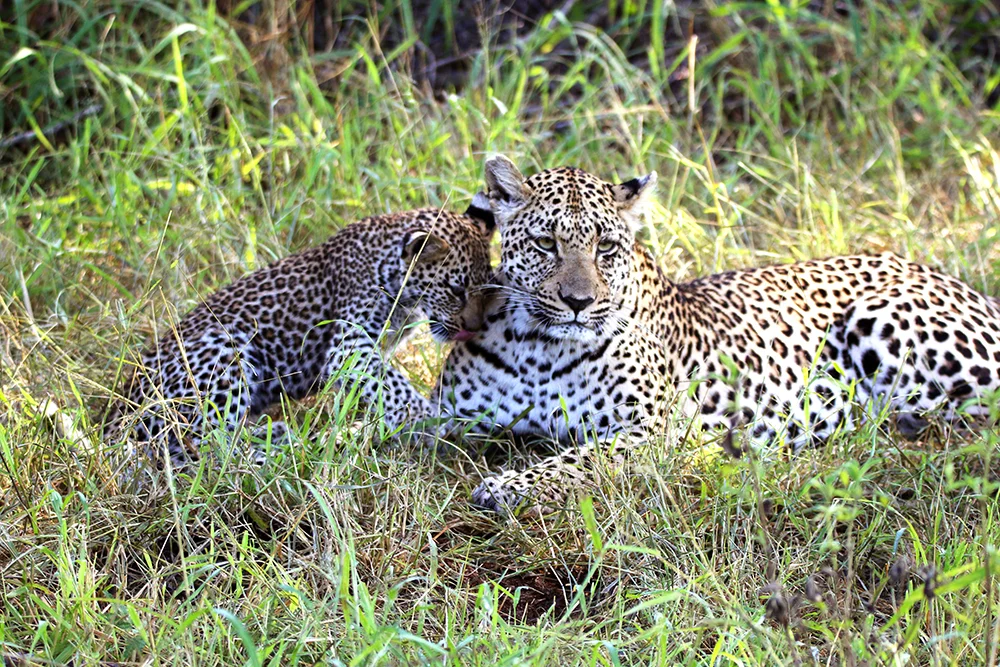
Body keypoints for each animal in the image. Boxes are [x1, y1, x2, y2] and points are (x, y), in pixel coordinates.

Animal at [106, 197, 496, 469]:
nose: (474, 328)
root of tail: (112, 419)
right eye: (456, 290)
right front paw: (430, 418)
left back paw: (276, 433)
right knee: (200, 445)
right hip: (222, 351)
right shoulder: (348, 346)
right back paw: (278, 448)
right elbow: (393, 384)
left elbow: (381, 385)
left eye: (487, 286)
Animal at [436, 155, 1000, 515]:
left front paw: (506, 486)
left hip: (886, 324)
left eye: (607, 248)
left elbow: (577, 459)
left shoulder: (654, 433)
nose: (580, 302)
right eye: (545, 243)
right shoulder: (448, 417)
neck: (539, 349)